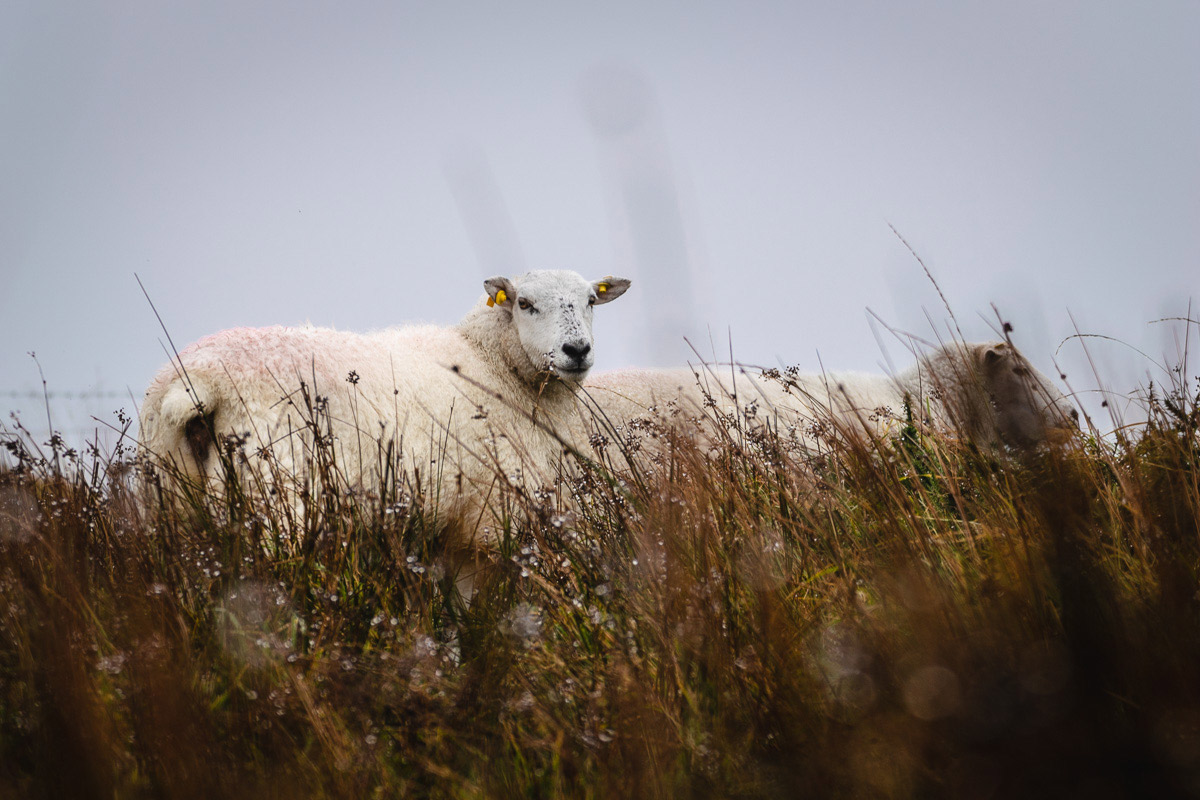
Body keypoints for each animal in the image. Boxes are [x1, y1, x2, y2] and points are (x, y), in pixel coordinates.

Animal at [138, 268, 628, 544]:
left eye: (590, 301)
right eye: (524, 303)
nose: (577, 350)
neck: (491, 363)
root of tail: (201, 378)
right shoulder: (491, 516)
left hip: (172, 498)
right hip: (278, 496)